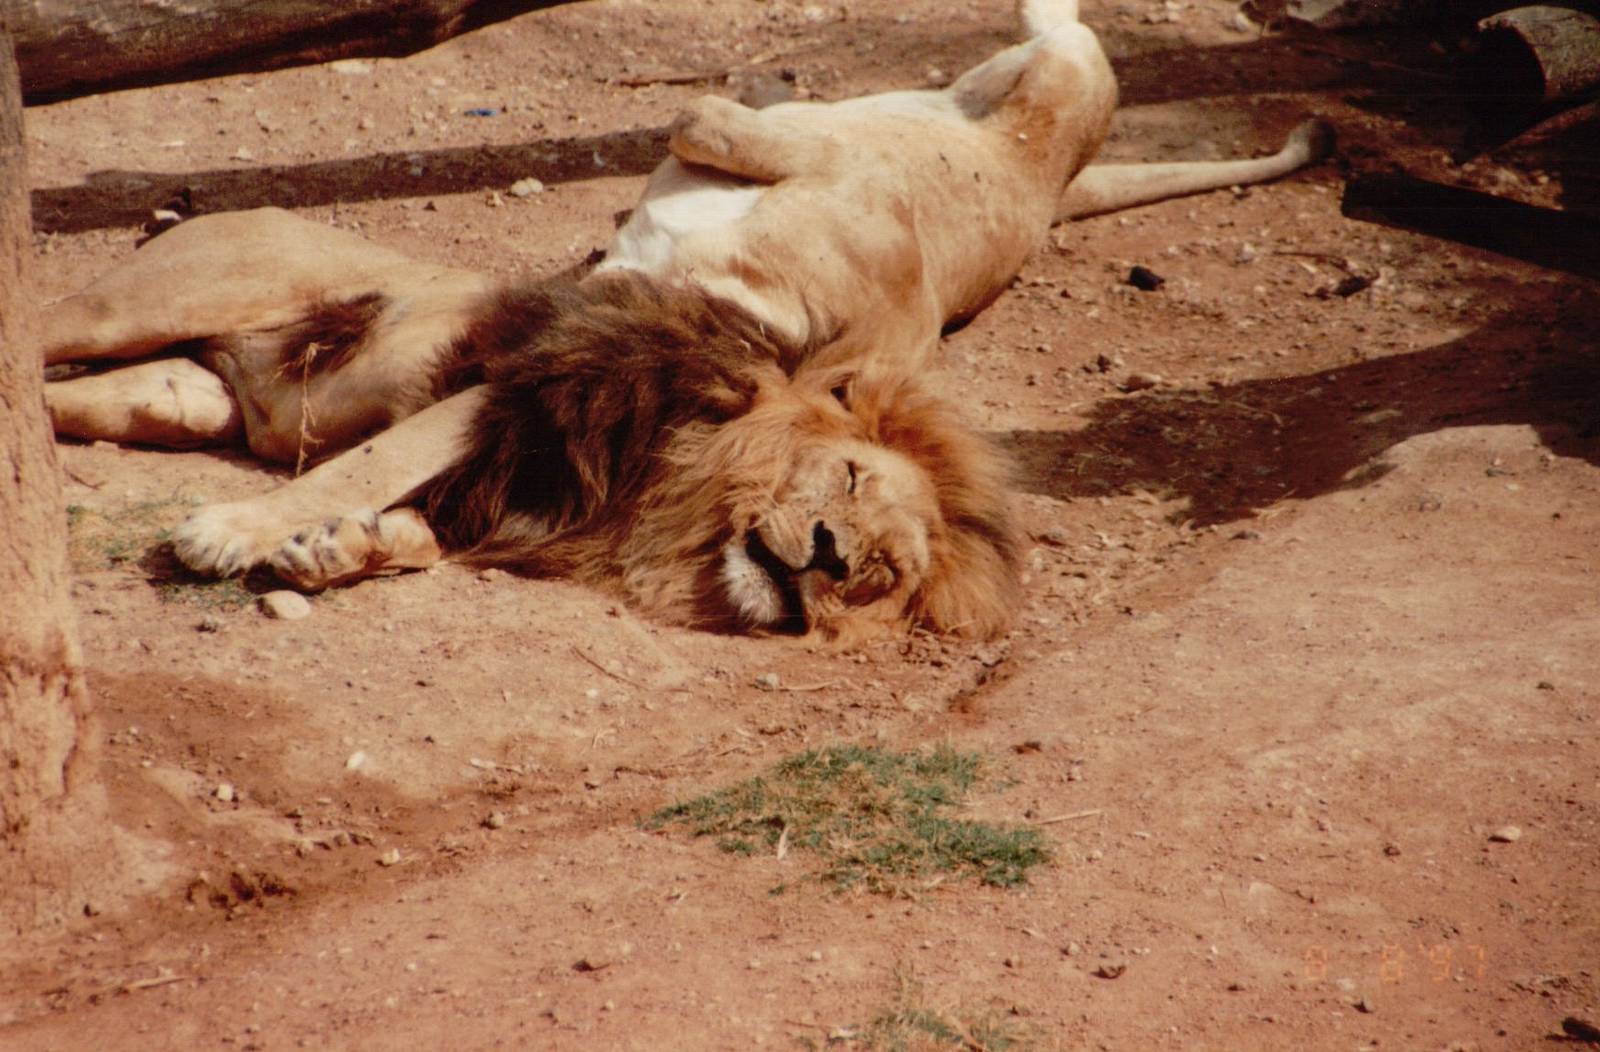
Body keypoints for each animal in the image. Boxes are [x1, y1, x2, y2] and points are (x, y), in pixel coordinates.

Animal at [40, 0, 1329, 641]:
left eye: (881, 574)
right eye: (849, 484)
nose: (828, 558)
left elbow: (394, 509)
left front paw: (331, 548)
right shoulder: (530, 373)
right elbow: (367, 459)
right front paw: (238, 530)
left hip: (168, 395)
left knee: (83, 403)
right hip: (130, 306)